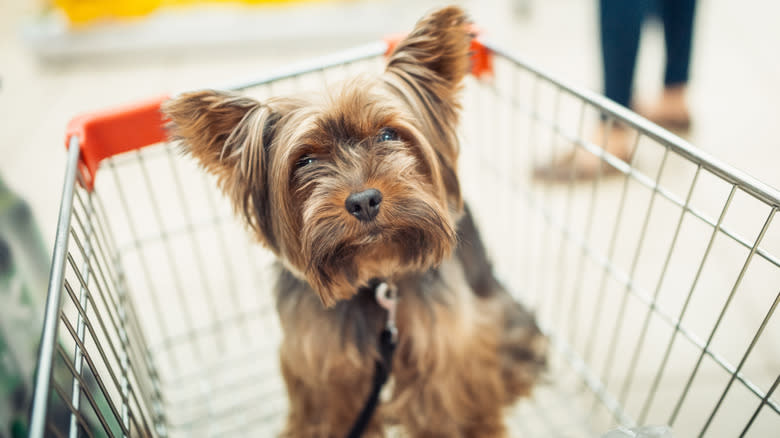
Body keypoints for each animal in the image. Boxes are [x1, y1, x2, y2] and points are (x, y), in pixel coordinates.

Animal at [162, 6, 544, 438]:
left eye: (388, 134)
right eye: (306, 160)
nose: (363, 201)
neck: (374, 276)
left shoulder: (445, 351)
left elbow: (449, 410)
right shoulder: (324, 368)